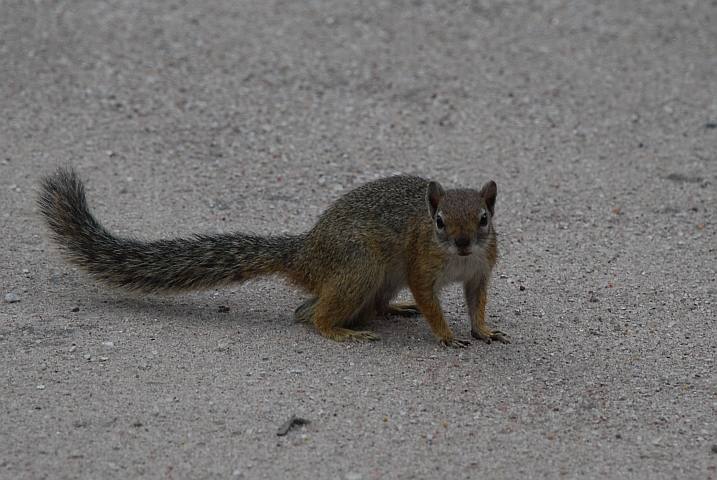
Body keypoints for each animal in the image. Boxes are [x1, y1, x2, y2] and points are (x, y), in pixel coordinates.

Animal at [39, 167, 506, 346]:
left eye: (484, 218)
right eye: (439, 222)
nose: (463, 243)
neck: (460, 260)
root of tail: (306, 254)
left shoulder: (480, 271)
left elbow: (476, 302)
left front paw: (483, 330)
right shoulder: (421, 265)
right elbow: (430, 301)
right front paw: (446, 335)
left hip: (375, 276)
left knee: (368, 306)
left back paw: (393, 309)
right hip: (360, 265)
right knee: (310, 314)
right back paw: (342, 331)